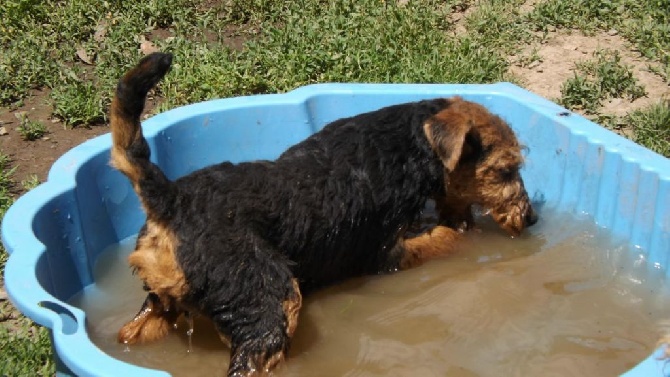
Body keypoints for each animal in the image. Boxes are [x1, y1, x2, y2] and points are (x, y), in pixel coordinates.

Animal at [110, 52, 540, 374]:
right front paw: (463, 234)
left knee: (130, 332)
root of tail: (171, 199)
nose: (531, 218)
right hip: (270, 302)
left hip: (161, 299)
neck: (410, 145)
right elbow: (445, 238)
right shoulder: (386, 252)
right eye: (506, 170)